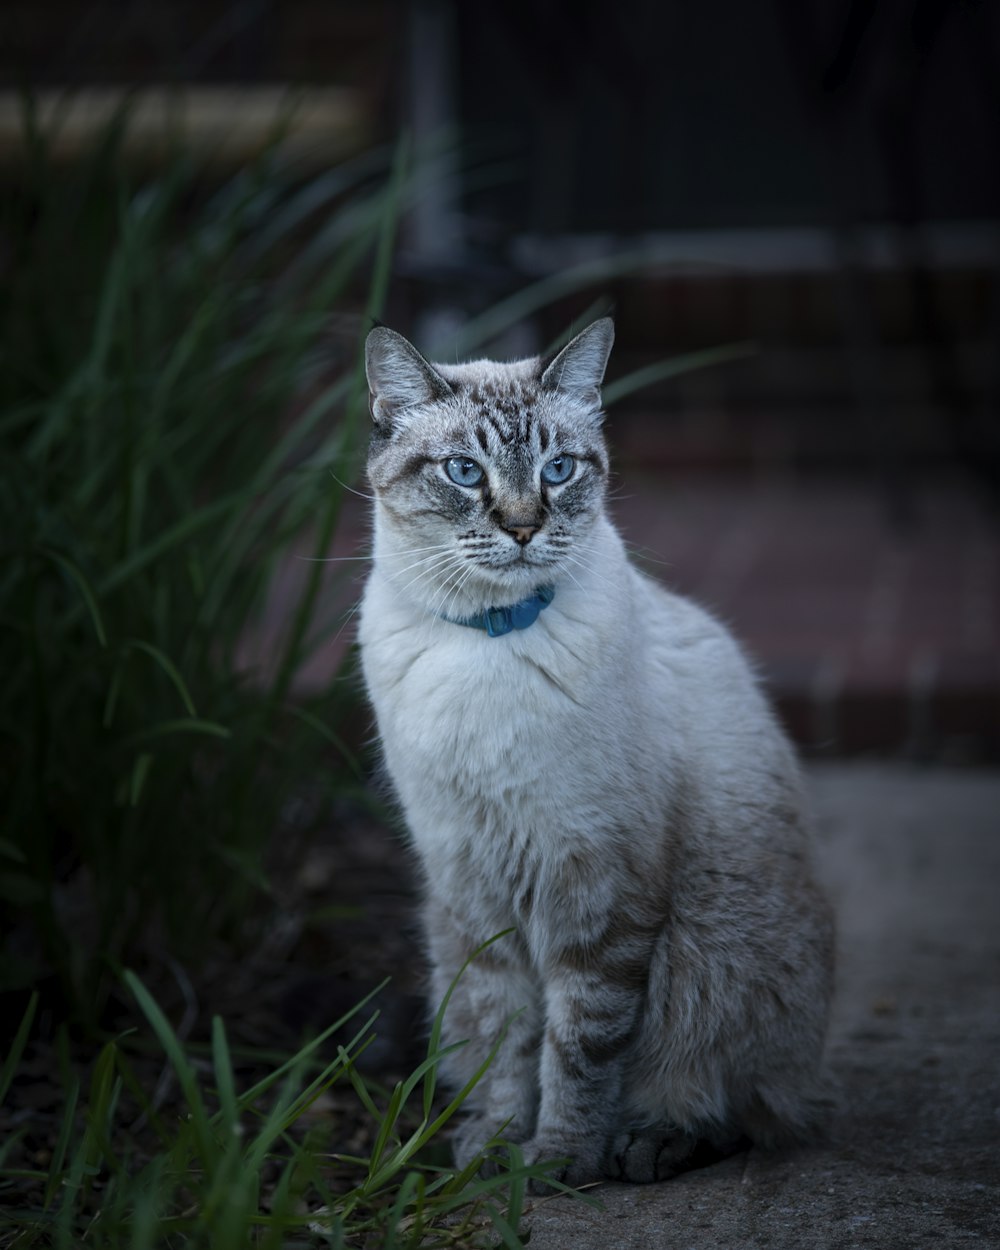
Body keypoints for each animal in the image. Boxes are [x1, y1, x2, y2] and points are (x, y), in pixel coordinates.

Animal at [360, 315, 835, 1190]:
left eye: (558, 468)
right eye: (464, 471)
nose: (522, 526)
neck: (490, 639)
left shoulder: (597, 885)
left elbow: (578, 1047)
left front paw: (557, 1164)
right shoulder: (474, 882)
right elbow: (506, 1038)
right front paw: (497, 1149)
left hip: (710, 958)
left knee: (739, 1106)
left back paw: (648, 1145)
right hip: (445, 936)